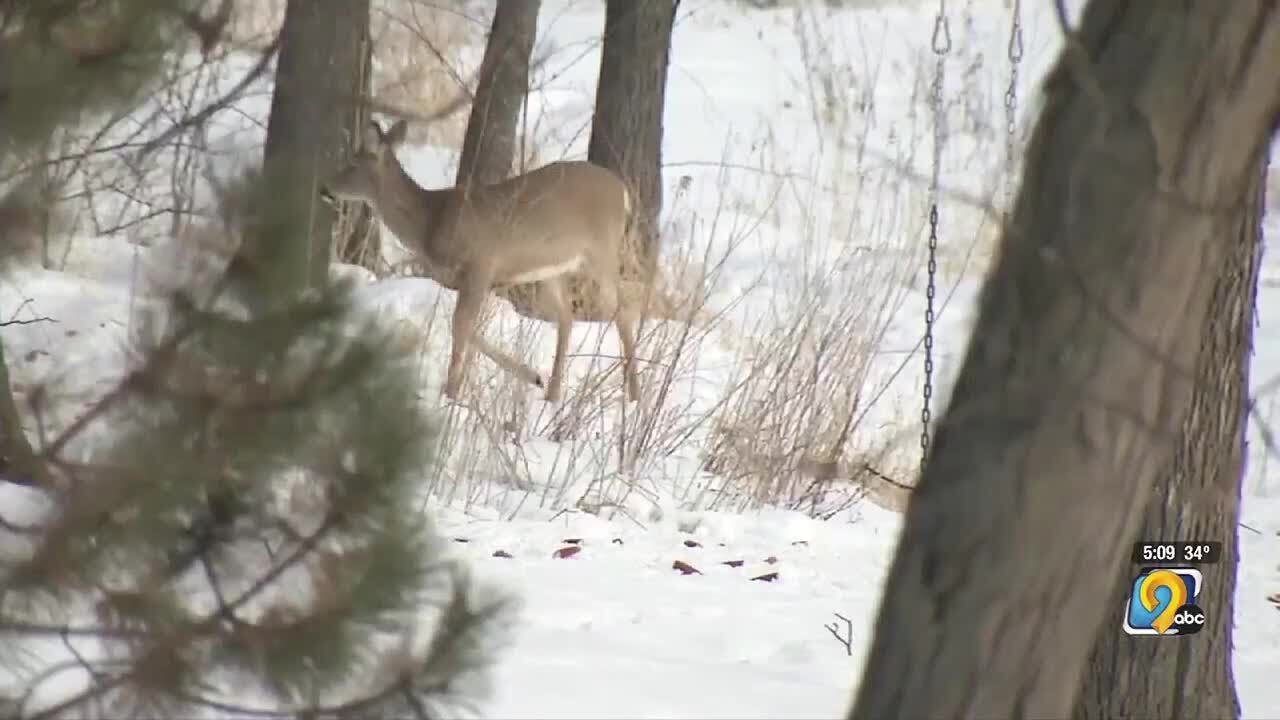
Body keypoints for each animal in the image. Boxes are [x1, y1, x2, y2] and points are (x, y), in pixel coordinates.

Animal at [320, 119, 642, 404]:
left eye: (352, 164)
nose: (325, 189)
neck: (430, 221)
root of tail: (623, 190)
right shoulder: (471, 277)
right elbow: (467, 326)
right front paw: (530, 376)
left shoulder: (481, 263)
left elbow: (461, 324)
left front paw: (451, 393)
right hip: (552, 268)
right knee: (567, 316)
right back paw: (552, 394)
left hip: (602, 251)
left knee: (623, 311)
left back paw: (634, 397)